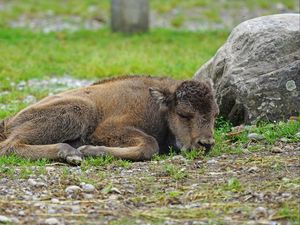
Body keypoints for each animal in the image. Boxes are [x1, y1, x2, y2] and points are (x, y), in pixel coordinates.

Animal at [0, 75, 218, 163]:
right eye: (183, 113)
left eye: (215, 114)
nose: (206, 144)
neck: (158, 107)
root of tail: (8, 121)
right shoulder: (107, 129)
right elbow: (149, 144)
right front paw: (87, 150)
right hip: (79, 111)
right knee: (9, 146)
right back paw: (72, 153)